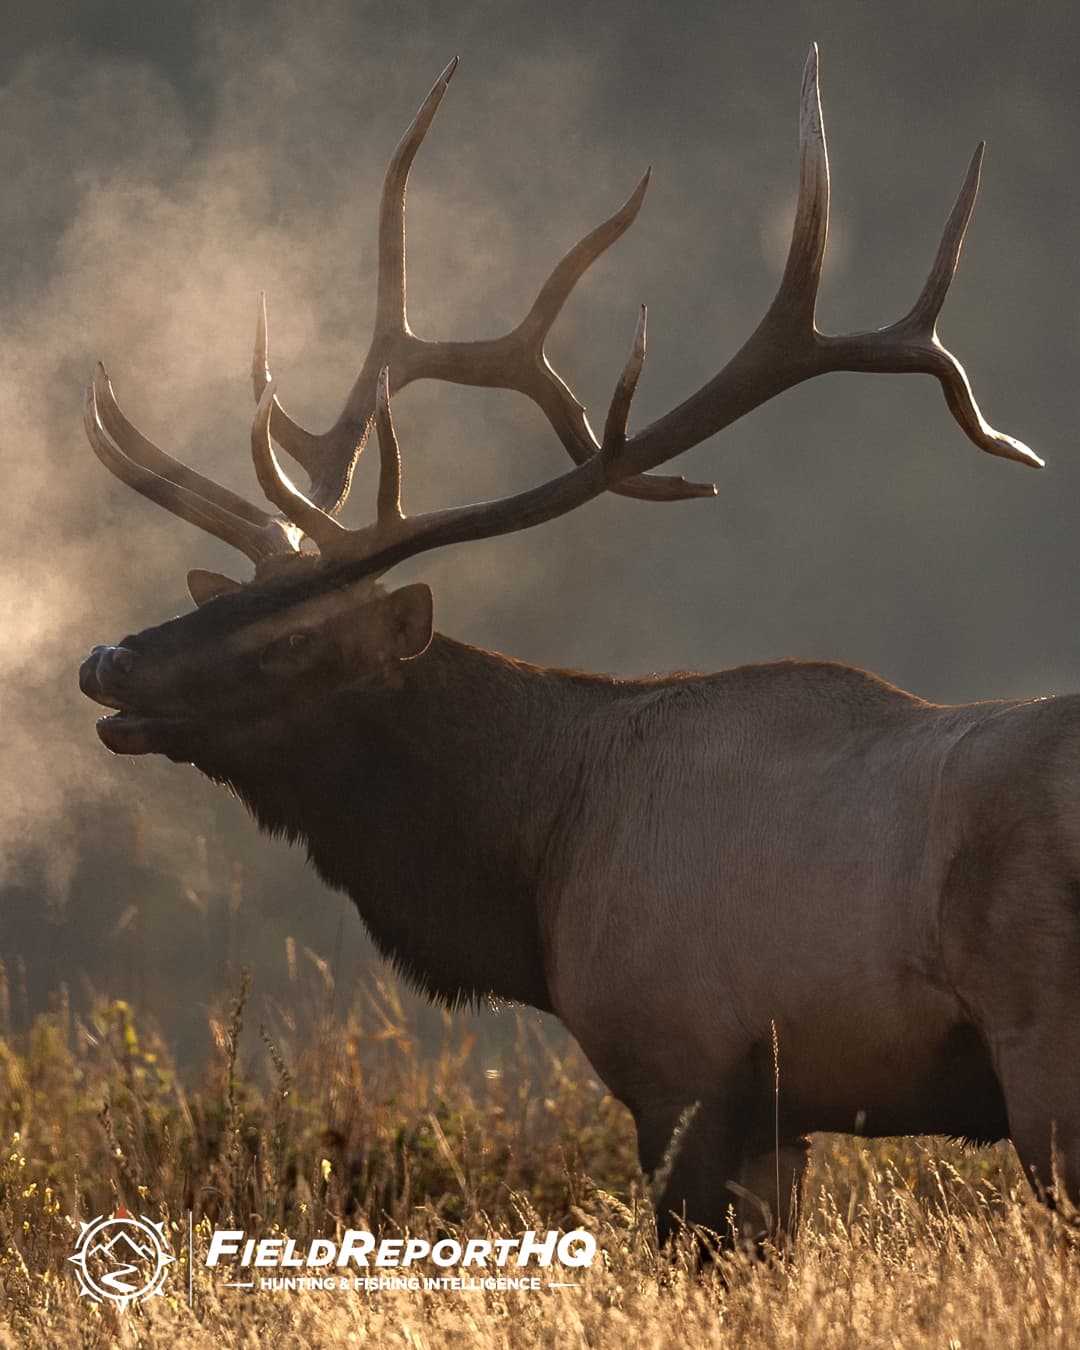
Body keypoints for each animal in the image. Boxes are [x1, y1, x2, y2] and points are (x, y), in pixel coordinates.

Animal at [79, 48, 1059, 1249]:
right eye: (225, 606)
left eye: (299, 636)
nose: (110, 660)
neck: (540, 862)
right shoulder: (779, 1111)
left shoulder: (684, 1064)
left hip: (1044, 1049)